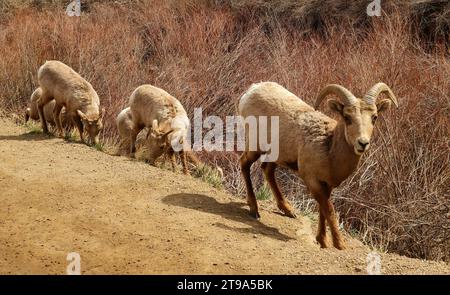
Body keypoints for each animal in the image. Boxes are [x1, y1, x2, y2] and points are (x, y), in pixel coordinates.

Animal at [239, 82, 398, 251]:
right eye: (347, 117)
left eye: (374, 117)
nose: (362, 143)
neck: (329, 149)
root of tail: (251, 91)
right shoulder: (313, 182)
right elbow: (329, 210)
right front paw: (340, 244)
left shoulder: (327, 185)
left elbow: (323, 210)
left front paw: (322, 241)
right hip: (255, 147)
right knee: (244, 164)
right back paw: (254, 209)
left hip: (275, 154)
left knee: (267, 170)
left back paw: (288, 210)